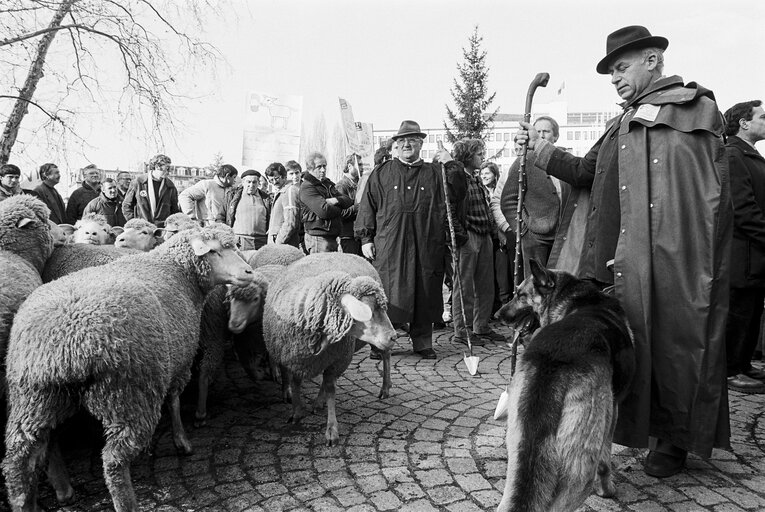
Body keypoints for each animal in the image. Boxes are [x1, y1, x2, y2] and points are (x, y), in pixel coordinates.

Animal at [3, 225, 254, 512]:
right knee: (114, 461)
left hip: (35, 399)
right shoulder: (177, 362)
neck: (175, 270)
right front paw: (182, 441)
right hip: (127, 396)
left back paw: (45, 494)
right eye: (215, 250)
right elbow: (174, 401)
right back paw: (126, 502)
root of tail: (67, 347)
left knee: (23, 457)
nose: (249, 272)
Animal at [262, 254, 394, 446]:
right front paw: (296, 413)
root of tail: (356, 255)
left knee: (386, 354)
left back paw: (385, 388)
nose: (394, 336)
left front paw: (331, 430)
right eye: (367, 311)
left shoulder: (336, 360)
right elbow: (295, 383)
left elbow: (331, 390)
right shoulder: (293, 359)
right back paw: (318, 402)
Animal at [496, 262, 632, 510]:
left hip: (519, 449)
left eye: (520, 295)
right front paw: (607, 491)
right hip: (579, 471)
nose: (497, 315)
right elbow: (605, 463)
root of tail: (554, 358)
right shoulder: (613, 413)